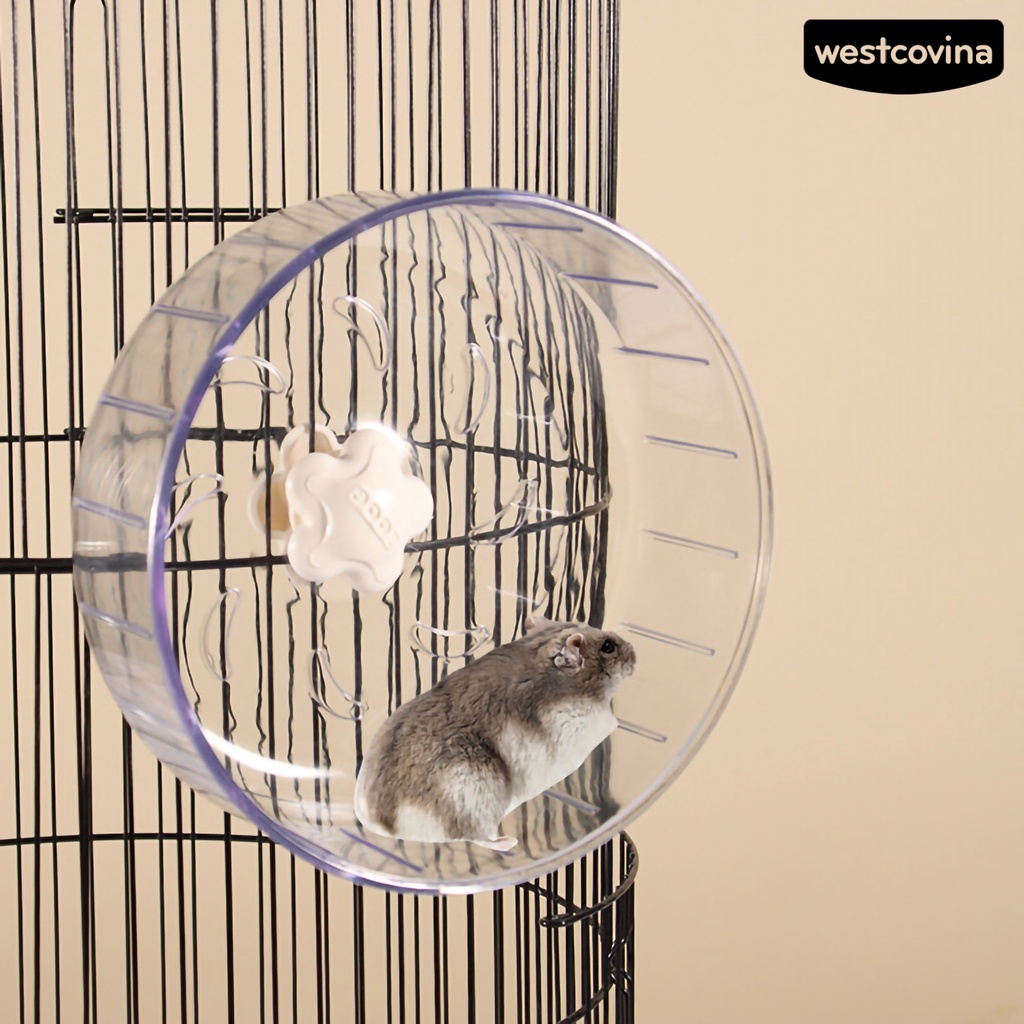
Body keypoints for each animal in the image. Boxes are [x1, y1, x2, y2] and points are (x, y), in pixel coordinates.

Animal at [353, 617, 636, 852]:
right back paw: (509, 842)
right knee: (474, 836)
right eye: (608, 647)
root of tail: (380, 821)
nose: (634, 653)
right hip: (473, 793)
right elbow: (609, 722)